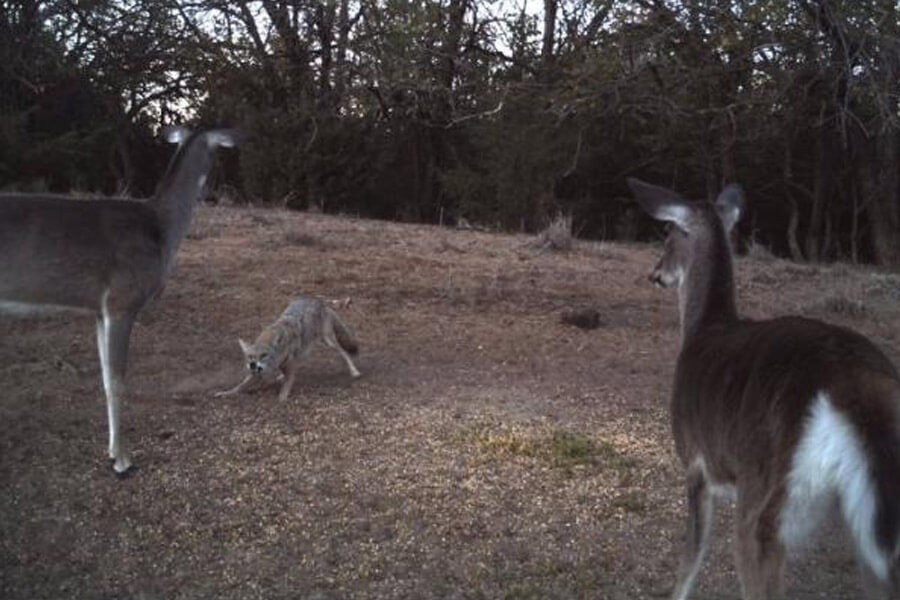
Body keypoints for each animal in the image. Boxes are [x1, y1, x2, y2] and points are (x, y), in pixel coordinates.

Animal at [0, 126, 240, 476]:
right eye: (218, 158)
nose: (214, 195)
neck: (160, 230)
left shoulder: (100, 311)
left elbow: (103, 377)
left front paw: (113, 450)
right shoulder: (122, 300)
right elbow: (116, 381)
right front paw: (123, 459)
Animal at [628, 177, 900, 599]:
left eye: (668, 234)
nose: (655, 274)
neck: (703, 328)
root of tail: (851, 385)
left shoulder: (696, 460)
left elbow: (691, 558)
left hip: (766, 496)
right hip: (872, 528)